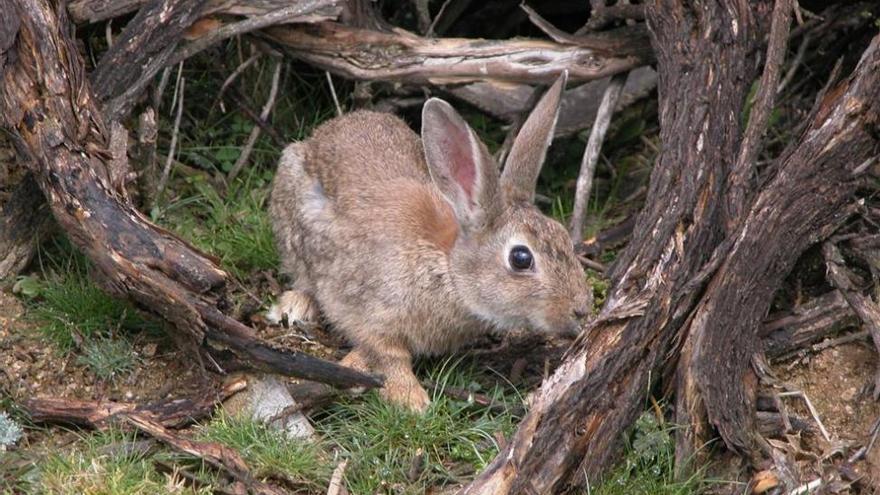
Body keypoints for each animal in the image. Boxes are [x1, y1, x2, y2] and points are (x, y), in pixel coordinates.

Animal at [268, 73, 592, 412]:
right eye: (520, 258)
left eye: (563, 234)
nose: (581, 309)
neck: (447, 268)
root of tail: (321, 133)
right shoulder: (372, 310)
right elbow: (388, 353)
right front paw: (411, 399)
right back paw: (297, 306)